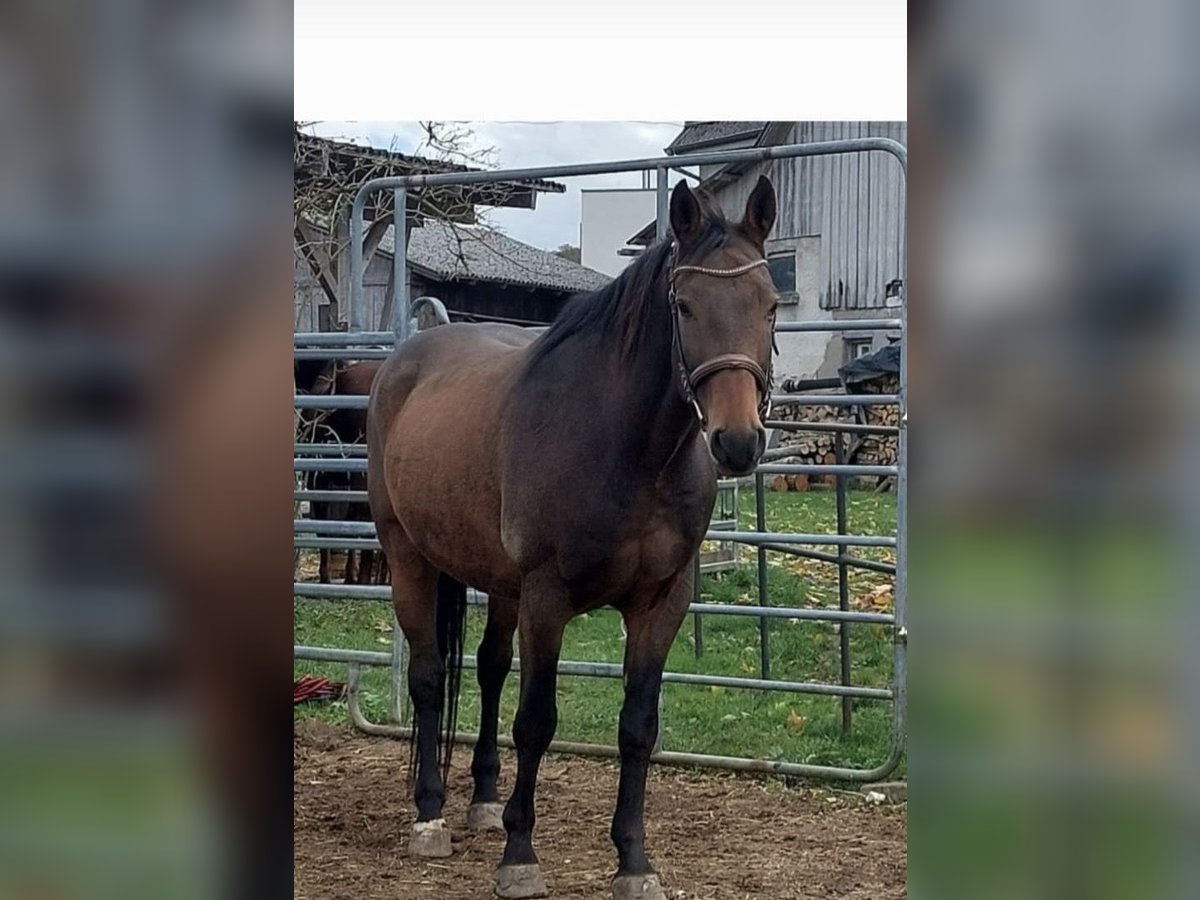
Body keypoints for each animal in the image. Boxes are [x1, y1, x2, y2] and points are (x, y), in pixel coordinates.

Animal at [364, 176, 777, 900]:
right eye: (685, 306)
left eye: (772, 306)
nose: (737, 442)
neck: (628, 448)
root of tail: (408, 356)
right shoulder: (548, 596)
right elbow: (536, 722)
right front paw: (520, 855)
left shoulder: (661, 602)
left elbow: (638, 728)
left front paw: (634, 862)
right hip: (409, 556)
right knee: (428, 675)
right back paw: (429, 814)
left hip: (498, 584)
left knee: (489, 668)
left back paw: (481, 801)